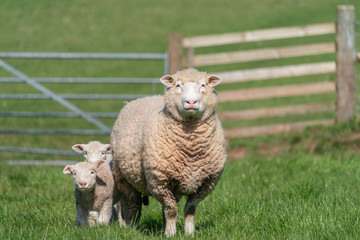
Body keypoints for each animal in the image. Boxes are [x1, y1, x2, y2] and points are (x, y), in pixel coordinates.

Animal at [111, 67, 226, 236]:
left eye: (203, 85)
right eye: (178, 85)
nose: (191, 102)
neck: (190, 149)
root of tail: (144, 98)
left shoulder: (207, 182)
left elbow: (189, 209)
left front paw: (189, 233)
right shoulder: (159, 181)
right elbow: (171, 210)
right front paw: (171, 234)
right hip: (124, 178)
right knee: (132, 205)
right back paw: (131, 228)